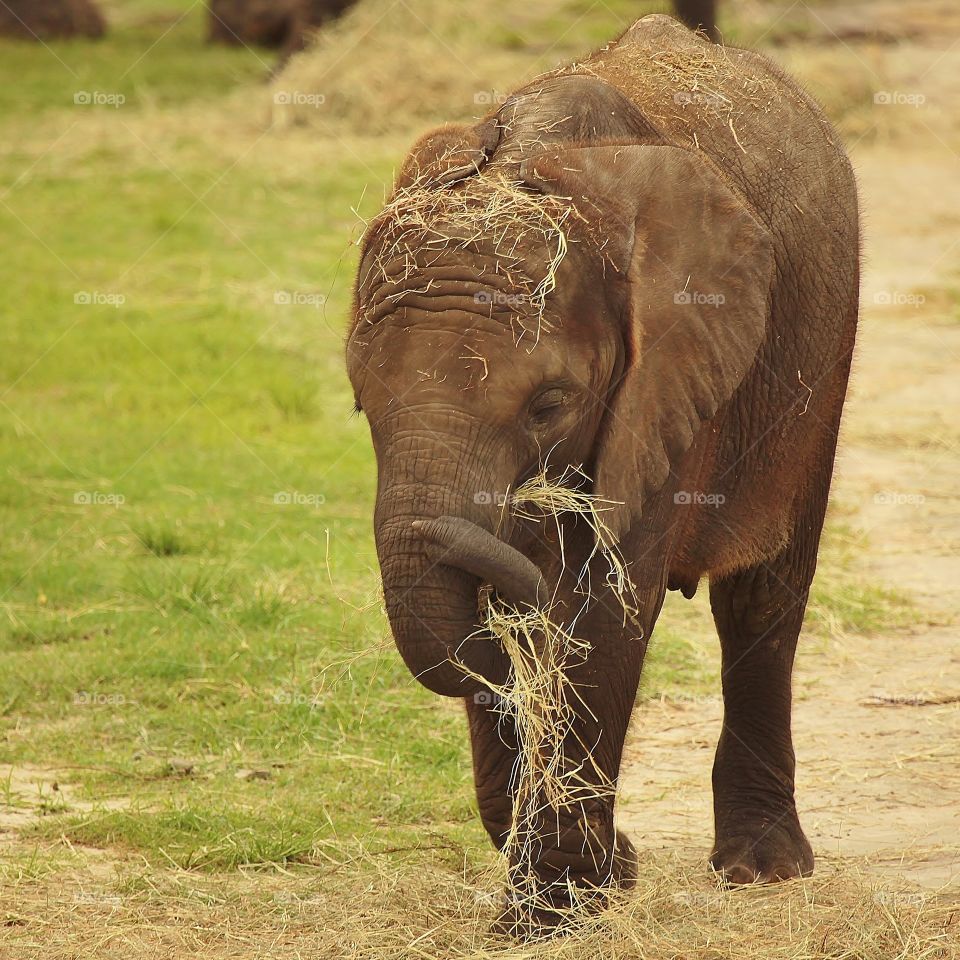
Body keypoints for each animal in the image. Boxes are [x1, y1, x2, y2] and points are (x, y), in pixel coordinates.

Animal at [347, 13, 859, 936]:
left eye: (550, 404)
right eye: (362, 403)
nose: (626, 857)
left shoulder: (674, 373)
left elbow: (606, 601)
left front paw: (551, 915)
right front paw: (594, 882)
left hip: (823, 355)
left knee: (764, 594)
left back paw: (763, 870)